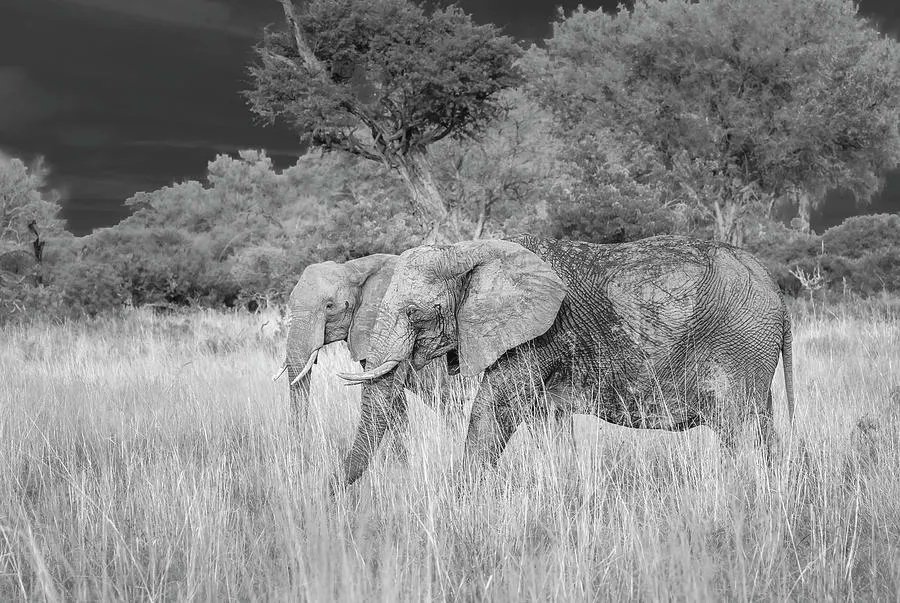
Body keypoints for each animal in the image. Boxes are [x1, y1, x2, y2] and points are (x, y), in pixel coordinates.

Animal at [338, 235, 796, 486]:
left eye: (415, 312)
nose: (335, 492)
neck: (470, 250)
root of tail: (777, 293)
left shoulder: (537, 336)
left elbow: (494, 408)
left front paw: (461, 498)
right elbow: (545, 420)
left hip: (739, 345)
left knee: (737, 428)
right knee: (763, 426)